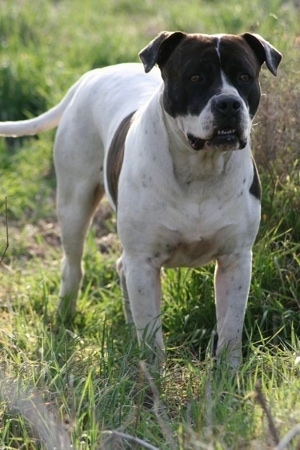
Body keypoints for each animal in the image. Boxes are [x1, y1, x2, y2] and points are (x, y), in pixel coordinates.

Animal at [0, 32, 282, 370]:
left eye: (244, 77)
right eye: (195, 77)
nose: (228, 103)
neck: (200, 171)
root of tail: (90, 75)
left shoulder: (235, 261)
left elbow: (230, 328)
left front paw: (228, 374)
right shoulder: (144, 261)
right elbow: (151, 335)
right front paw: (152, 376)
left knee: (121, 268)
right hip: (74, 203)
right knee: (73, 265)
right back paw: (65, 319)